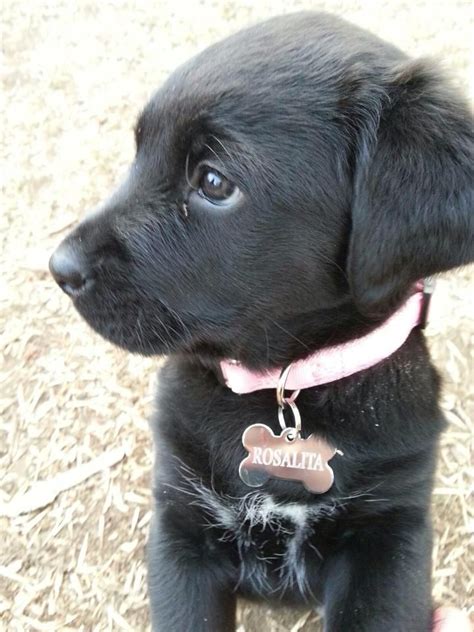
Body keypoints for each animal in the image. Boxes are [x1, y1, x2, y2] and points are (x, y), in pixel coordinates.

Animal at [50, 11, 472, 632]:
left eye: (214, 182)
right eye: (138, 153)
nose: (60, 268)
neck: (283, 387)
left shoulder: (388, 536)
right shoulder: (183, 524)